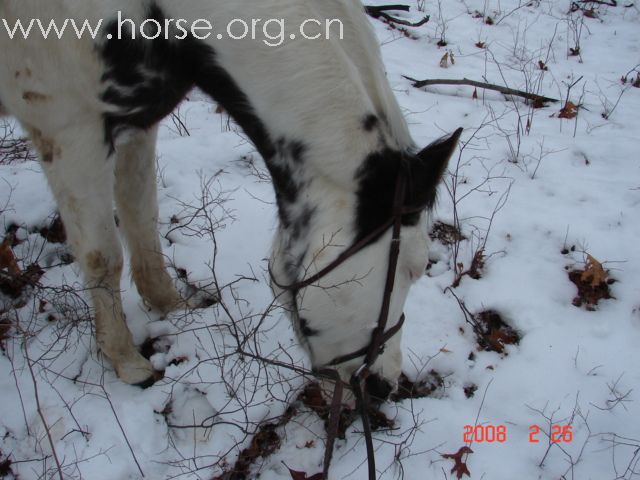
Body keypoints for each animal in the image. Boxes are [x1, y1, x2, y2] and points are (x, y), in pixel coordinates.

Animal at [0, 0, 460, 394]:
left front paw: (170, 304)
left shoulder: (139, 121)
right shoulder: (70, 132)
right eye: (413, 269)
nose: (385, 384)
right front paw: (125, 360)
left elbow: (141, 216)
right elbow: (102, 256)